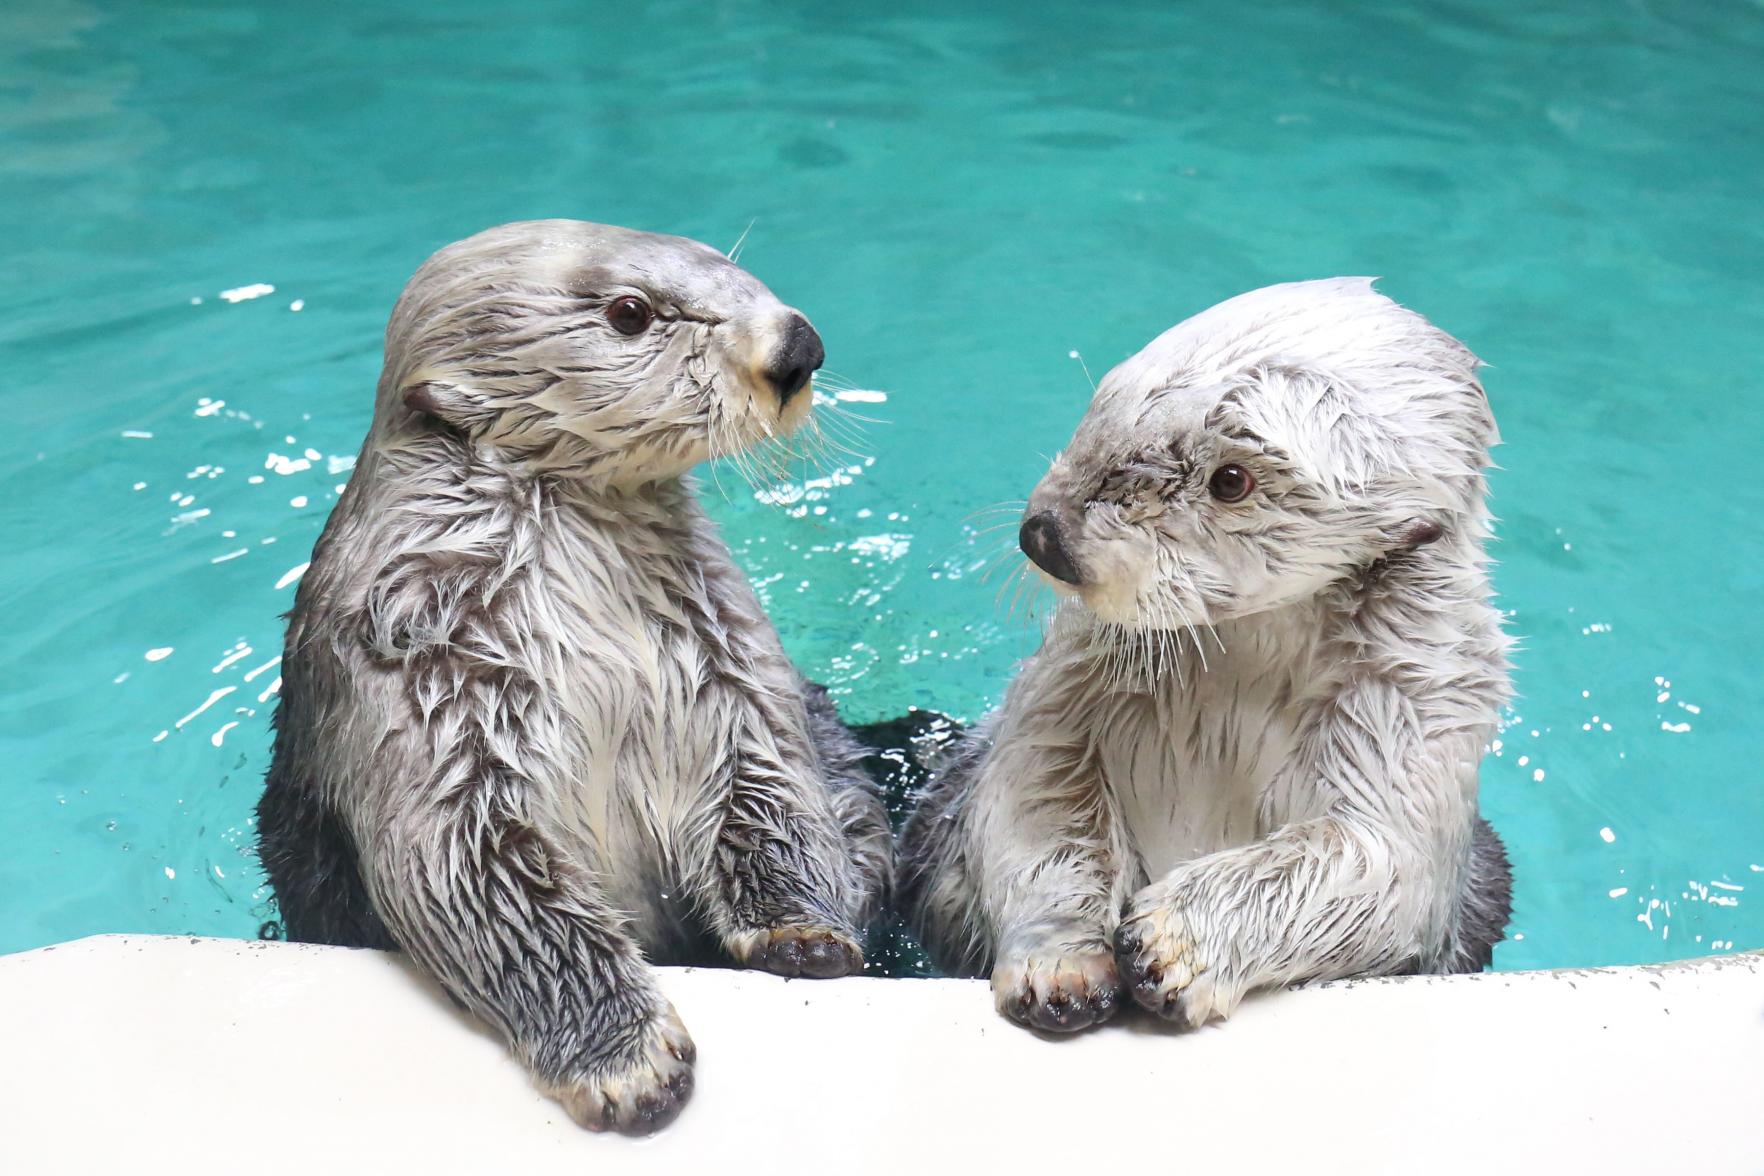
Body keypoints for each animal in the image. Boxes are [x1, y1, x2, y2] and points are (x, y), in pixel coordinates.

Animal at [903, 280, 1509, 1036]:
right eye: (1104, 406)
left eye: (1231, 481)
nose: (1045, 534)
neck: (1243, 670)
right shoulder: (1067, 684)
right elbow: (1033, 797)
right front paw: (1061, 967)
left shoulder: (1415, 713)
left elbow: (1376, 861)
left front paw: (1170, 944)